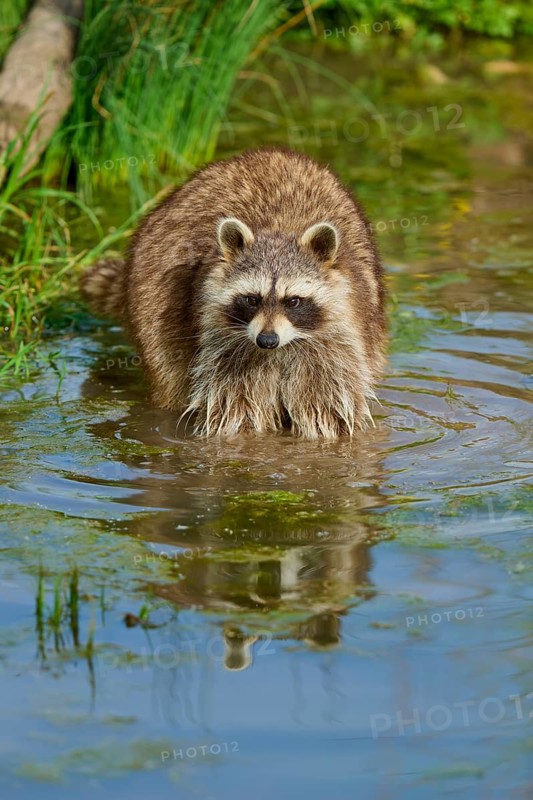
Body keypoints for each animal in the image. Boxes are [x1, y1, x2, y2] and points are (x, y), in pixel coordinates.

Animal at [82, 147, 386, 439]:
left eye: (293, 301)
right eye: (252, 299)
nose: (267, 340)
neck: (278, 229)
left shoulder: (335, 343)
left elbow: (328, 408)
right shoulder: (222, 343)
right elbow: (235, 406)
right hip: (153, 294)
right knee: (169, 369)